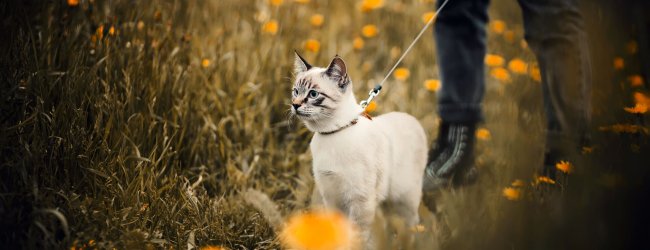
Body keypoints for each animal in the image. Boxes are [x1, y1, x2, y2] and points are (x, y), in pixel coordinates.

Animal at [292, 52, 428, 246]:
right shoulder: (331, 197)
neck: (332, 133)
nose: (295, 105)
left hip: (404, 201)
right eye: (296, 91)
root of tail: (411, 118)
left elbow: (357, 236)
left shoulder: (360, 200)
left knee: (411, 227)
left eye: (313, 94)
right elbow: (337, 231)